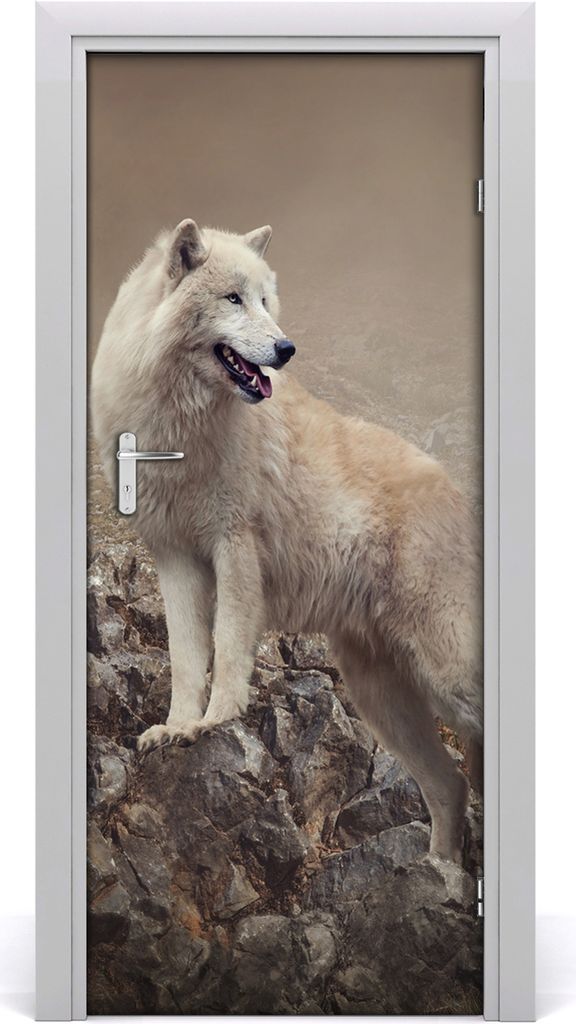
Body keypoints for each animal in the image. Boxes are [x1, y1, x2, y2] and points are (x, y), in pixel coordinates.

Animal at [92, 219, 483, 863]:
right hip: (381, 698)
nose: (286, 350)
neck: (182, 427)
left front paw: (215, 722)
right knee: (450, 784)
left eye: (266, 301)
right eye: (233, 299)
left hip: (444, 675)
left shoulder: (234, 547)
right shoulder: (175, 559)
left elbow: (227, 647)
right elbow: (185, 657)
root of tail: (458, 492)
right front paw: (176, 728)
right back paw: (440, 871)